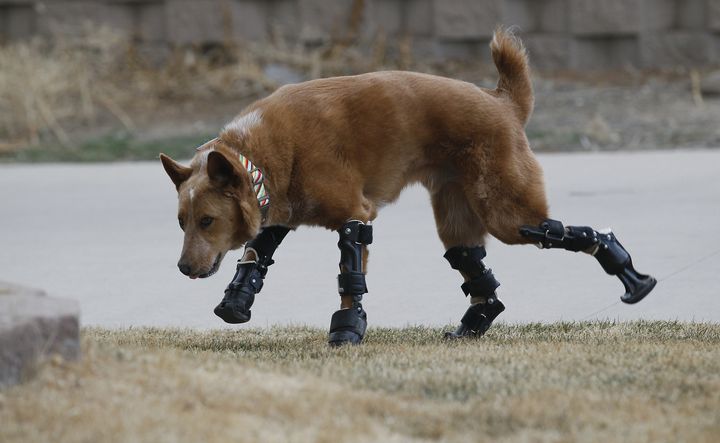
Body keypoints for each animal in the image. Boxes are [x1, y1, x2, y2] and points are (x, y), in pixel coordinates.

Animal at [160, 29, 656, 346]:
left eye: (207, 221)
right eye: (181, 222)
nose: (182, 269)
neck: (263, 153)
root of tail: (503, 102)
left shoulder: (354, 214)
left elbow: (350, 277)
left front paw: (347, 330)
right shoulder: (280, 214)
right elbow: (256, 255)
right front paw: (237, 300)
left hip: (507, 215)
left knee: (572, 233)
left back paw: (631, 275)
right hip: (457, 217)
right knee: (477, 273)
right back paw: (469, 329)